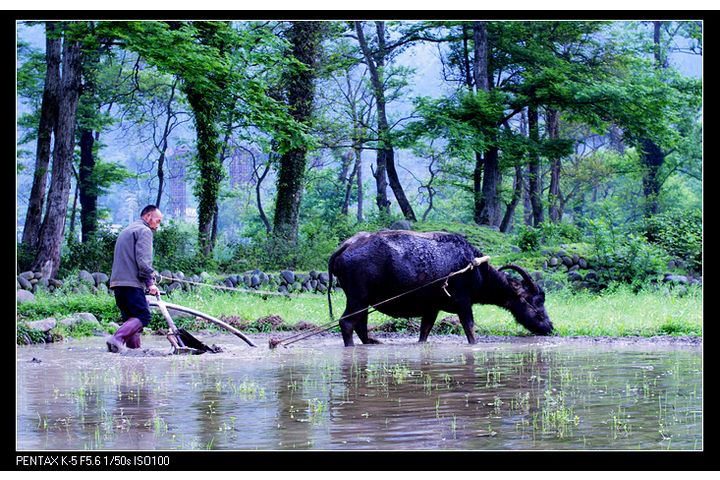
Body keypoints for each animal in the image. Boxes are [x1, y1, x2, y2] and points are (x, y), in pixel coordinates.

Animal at [326, 231, 552, 346]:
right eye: (537, 300)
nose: (550, 327)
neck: (473, 268)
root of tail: (347, 246)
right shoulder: (463, 302)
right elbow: (469, 328)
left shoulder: (431, 309)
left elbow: (424, 332)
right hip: (357, 300)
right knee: (346, 323)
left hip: (364, 302)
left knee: (360, 325)